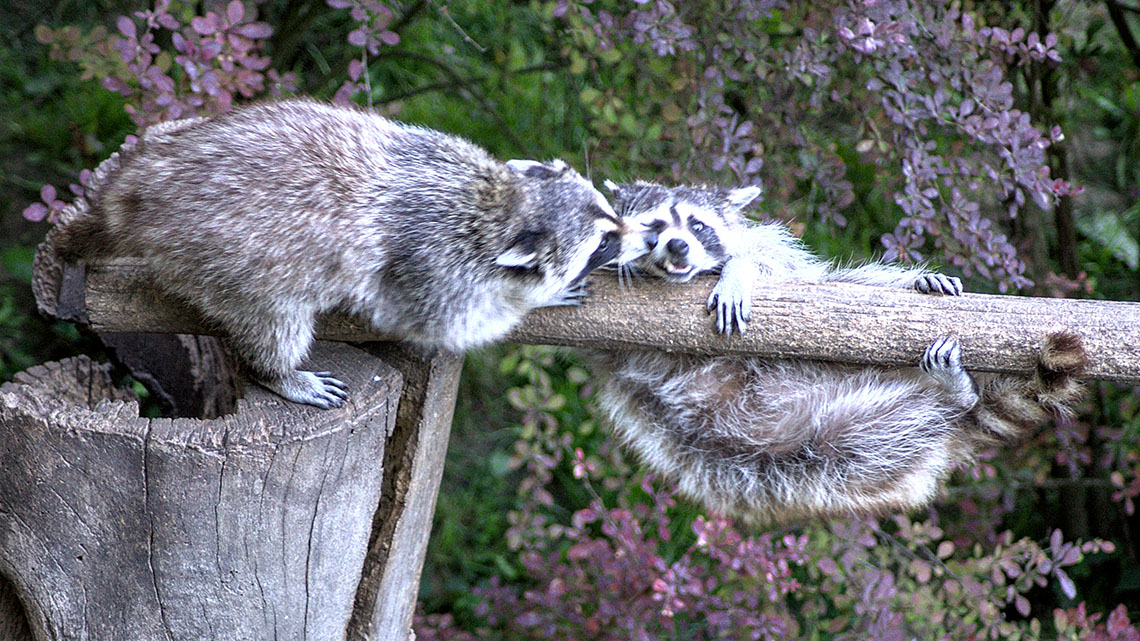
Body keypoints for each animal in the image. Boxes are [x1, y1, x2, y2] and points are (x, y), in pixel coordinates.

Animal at [52, 99, 647, 408]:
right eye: (603, 241)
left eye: (607, 213)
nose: (639, 234)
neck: (500, 205)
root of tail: (137, 196)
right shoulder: (431, 267)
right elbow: (448, 324)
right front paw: (534, 301)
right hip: (228, 265)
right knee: (273, 323)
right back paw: (278, 371)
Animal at [590, 181, 1087, 524]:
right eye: (654, 226)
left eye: (696, 225)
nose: (677, 245)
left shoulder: (781, 258)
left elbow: (782, 265)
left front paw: (738, 269)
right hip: (840, 460)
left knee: (856, 283)